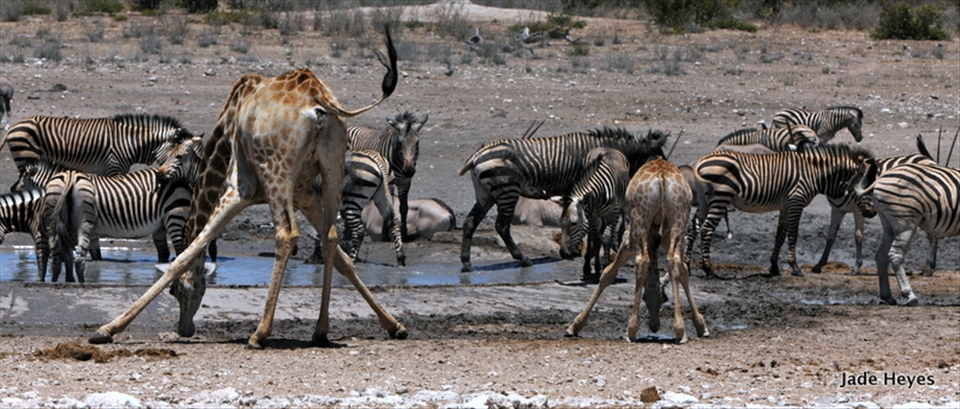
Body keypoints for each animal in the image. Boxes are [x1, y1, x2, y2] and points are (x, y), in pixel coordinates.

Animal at [89, 26, 407, 349]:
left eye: (176, 291)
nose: (184, 329)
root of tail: (320, 102)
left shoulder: (237, 189)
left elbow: (188, 252)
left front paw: (108, 329)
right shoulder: (303, 192)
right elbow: (341, 257)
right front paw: (394, 325)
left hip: (277, 171)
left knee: (286, 235)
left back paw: (260, 332)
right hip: (332, 168)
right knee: (331, 237)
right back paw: (320, 331)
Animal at [566, 157, 708, 344]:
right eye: (663, 298)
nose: (654, 326)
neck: (654, 237)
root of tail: (662, 177)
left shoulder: (628, 240)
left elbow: (608, 274)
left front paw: (575, 325)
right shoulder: (667, 238)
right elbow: (682, 270)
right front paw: (700, 326)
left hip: (639, 220)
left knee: (642, 261)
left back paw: (631, 329)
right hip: (679, 217)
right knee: (673, 261)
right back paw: (679, 329)